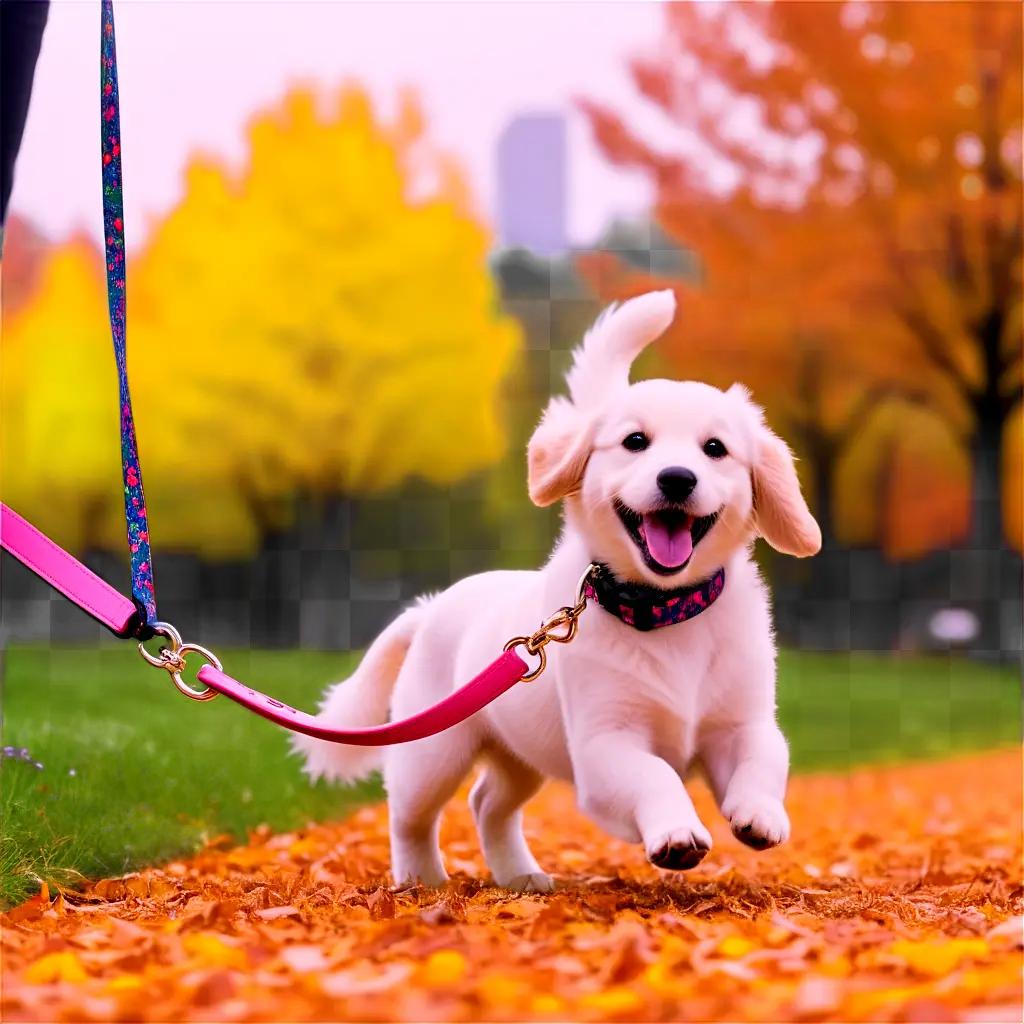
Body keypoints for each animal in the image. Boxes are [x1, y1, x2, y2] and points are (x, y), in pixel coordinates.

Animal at [292, 292, 819, 892]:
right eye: (635, 441)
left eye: (715, 449)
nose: (677, 478)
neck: (665, 611)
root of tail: (427, 611)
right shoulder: (605, 744)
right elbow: (656, 775)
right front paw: (676, 835)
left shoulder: (740, 723)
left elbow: (765, 758)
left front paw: (759, 813)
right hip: (433, 751)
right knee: (410, 816)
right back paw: (421, 879)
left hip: (519, 756)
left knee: (487, 804)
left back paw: (520, 876)